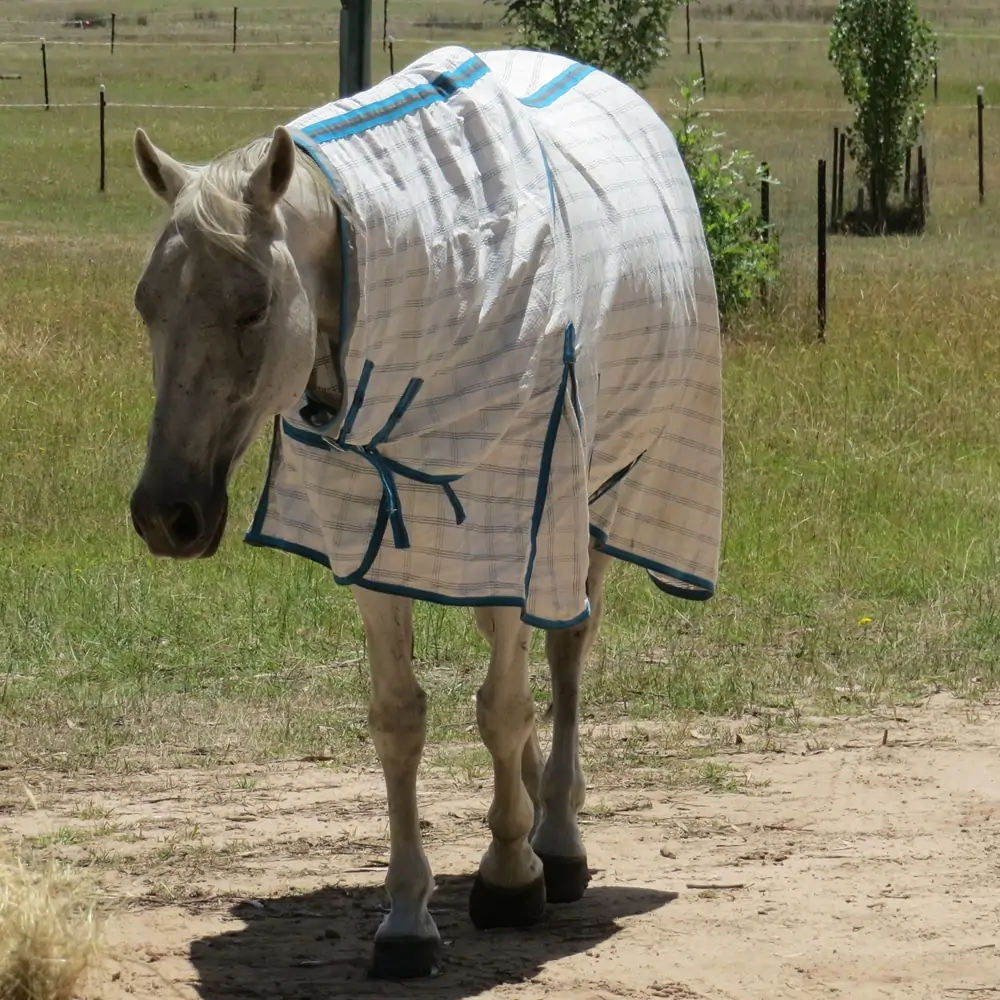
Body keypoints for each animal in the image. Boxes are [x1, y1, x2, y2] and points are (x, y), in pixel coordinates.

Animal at [128, 45, 723, 979]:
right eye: (146, 304)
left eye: (253, 305)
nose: (166, 514)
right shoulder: (373, 540)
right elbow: (401, 719)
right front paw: (407, 917)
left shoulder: (521, 514)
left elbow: (504, 705)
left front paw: (511, 874)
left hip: (588, 505)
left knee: (565, 655)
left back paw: (557, 838)